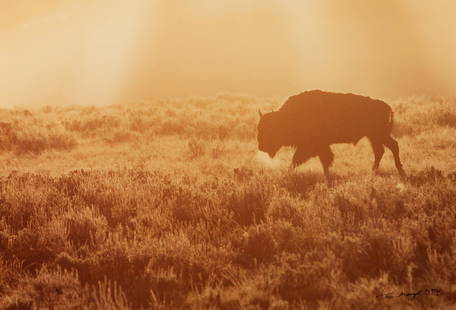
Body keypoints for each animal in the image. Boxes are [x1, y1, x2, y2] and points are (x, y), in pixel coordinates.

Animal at [256, 90, 406, 179]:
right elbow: (324, 160)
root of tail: (386, 106)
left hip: (378, 135)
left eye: (270, 130)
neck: (286, 117)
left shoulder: (312, 146)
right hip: (374, 136)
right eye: (259, 128)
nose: (261, 147)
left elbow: (298, 159)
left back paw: (399, 171)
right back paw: (374, 171)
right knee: (382, 150)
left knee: (392, 146)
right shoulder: (320, 146)